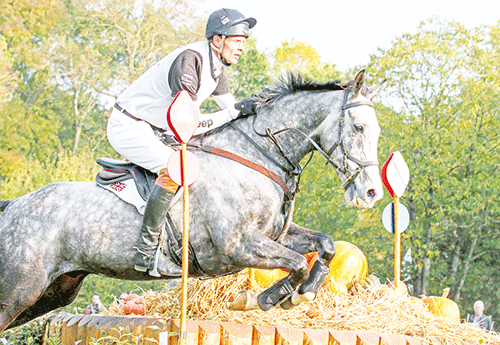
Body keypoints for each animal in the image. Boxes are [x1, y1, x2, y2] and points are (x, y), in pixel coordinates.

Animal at [0, 70, 382, 330]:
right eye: (359, 128)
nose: (372, 192)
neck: (256, 156)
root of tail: (15, 205)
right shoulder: (236, 246)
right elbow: (299, 263)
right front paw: (262, 299)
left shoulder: (273, 235)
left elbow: (325, 245)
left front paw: (304, 294)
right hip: (20, 288)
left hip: (54, 290)